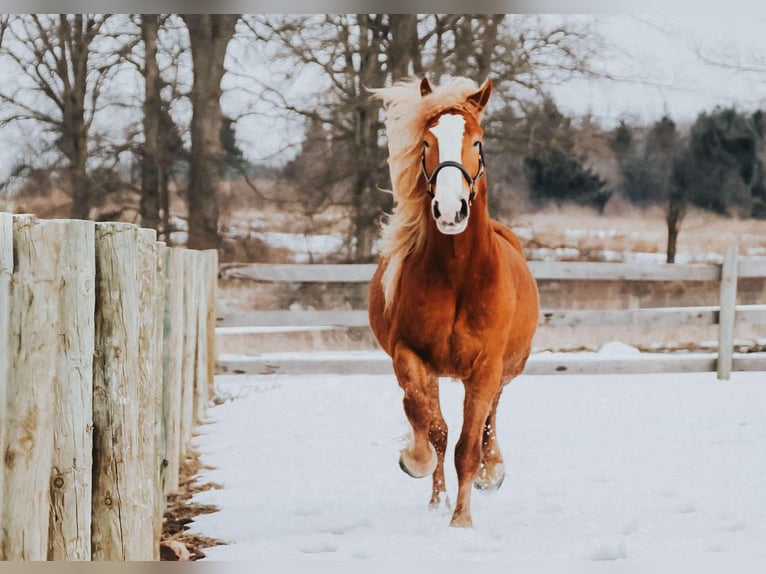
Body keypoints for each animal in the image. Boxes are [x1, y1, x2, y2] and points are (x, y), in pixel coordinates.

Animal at [368, 76, 540, 528]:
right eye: (426, 142)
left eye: (477, 142)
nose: (449, 210)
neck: (458, 275)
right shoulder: (409, 354)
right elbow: (429, 424)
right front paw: (416, 462)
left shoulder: (485, 368)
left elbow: (468, 447)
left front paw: (462, 520)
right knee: (435, 423)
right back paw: (436, 496)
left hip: (507, 368)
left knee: (491, 417)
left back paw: (491, 472)